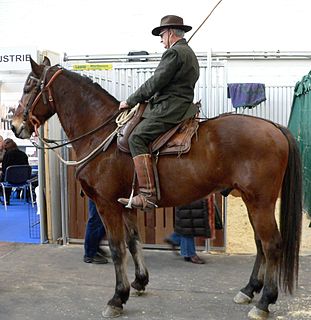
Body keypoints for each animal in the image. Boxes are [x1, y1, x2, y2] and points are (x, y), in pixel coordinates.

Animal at [11, 57, 302, 320]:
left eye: (28, 87)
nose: (14, 126)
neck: (102, 136)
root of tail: (274, 127)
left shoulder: (107, 205)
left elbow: (117, 249)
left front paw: (117, 298)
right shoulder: (126, 204)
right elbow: (133, 242)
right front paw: (139, 282)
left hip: (260, 202)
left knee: (271, 244)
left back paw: (264, 301)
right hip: (252, 201)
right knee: (260, 244)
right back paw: (249, 289)